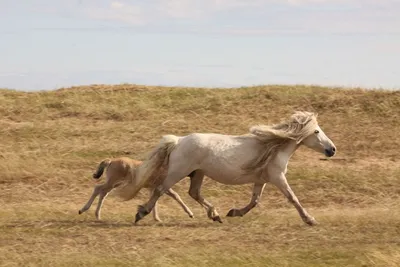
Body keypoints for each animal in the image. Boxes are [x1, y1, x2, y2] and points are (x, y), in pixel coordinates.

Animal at [115, 112, 334, 227]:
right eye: (316, 131)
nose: (332, 150)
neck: (273, 148)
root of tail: (178, 141)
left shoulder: (261, 180)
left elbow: (255, 201)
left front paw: (234, 212)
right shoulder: (278, 177)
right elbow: (293, 198)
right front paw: (310, 219)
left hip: (198, 173)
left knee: (193, 193)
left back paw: (216, 215)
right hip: (178, 172)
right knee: (160, 189)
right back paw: (141, 214)